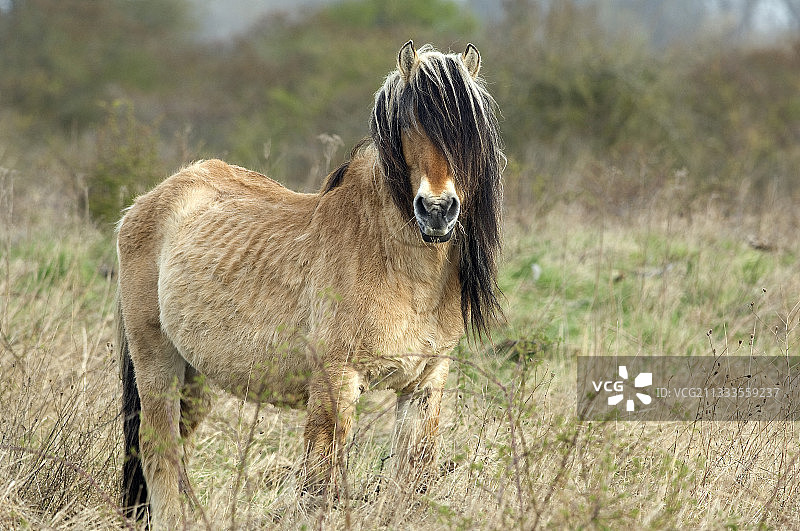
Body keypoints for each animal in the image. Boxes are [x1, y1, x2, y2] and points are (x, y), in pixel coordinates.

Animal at [117, 40, 503, 528]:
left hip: (193, 376)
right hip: (156, 363)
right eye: (409, 124)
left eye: (469, 133)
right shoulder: (335, 380)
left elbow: (411, 480)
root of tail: (146, 202)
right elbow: (320, 485)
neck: (390, 259)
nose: (437, 211)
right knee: (158, 451)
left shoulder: (425, 382)